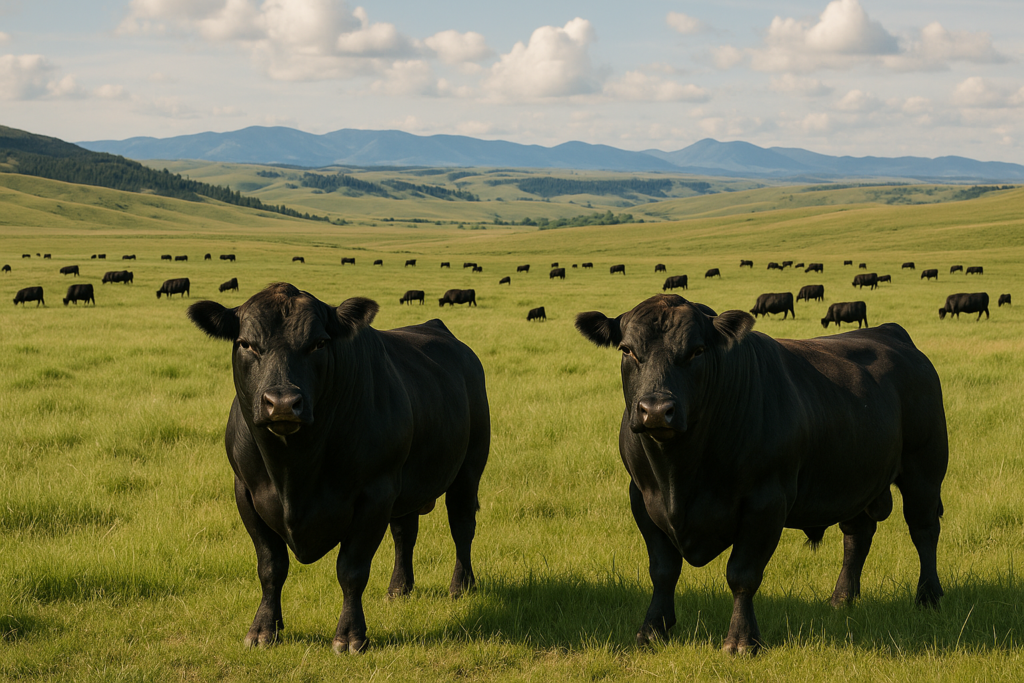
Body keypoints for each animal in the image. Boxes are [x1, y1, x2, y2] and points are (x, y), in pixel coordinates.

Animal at [186, 283, 490, 654]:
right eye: (246, 344)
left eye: (318, 343)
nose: (282, 403)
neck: (293, 472)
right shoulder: (245, 491)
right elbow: (270, 566)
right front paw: (264, 629)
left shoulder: (375, 494)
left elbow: (352, 569)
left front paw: (350, 635)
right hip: (407, 486)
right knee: (405, 533)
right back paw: (399, 588)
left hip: (468, 469)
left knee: (462, 526)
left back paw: (461, 585)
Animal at [575, 294, 946, 655]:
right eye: (627, 350)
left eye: (697, 351)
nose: (655, 411)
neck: (678, 475)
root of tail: (889, 331)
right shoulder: (642, 498)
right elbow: (663, 570)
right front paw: (652, 631)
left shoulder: (766, 502)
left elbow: (743, 573)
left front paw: (742, 640)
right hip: (854, 480)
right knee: (857, 536)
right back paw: (842, 599)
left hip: (924, 470)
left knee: (924, 530)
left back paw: (928, 596)